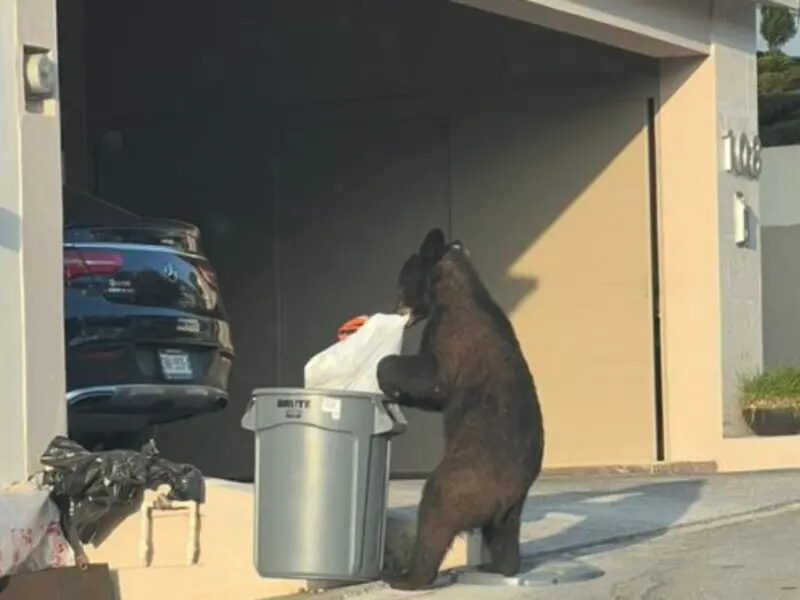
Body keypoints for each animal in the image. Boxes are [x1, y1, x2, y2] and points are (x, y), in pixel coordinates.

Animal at [380, 230, 544, 592]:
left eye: (400, 284)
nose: (394, 308)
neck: (454, 288)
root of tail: (504, 500)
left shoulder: (455, 335)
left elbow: (432, 378)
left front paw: (385, 372)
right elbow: (434, 398)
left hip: (466, 477)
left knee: (436, 510)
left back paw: (408, 577)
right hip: (510, 512)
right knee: (503, 539)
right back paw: (501, 566)